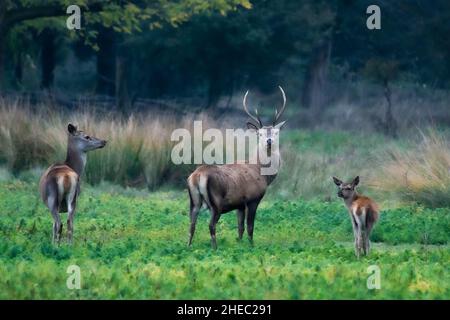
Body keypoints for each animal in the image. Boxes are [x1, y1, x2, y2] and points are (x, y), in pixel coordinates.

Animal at [187, 86, 286, 249]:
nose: (269, 141)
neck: (263, 175)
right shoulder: (253, 198)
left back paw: (188, 246)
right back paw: (215, 248)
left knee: (191, 224)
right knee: (211, 224)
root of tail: (197, 176)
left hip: (194, 200)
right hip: (216, 202)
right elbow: (250, 227)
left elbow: (240, 228)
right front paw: (251, 246)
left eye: (276, 132)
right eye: (259, 134)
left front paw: (239, 244)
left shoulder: (239, 204)